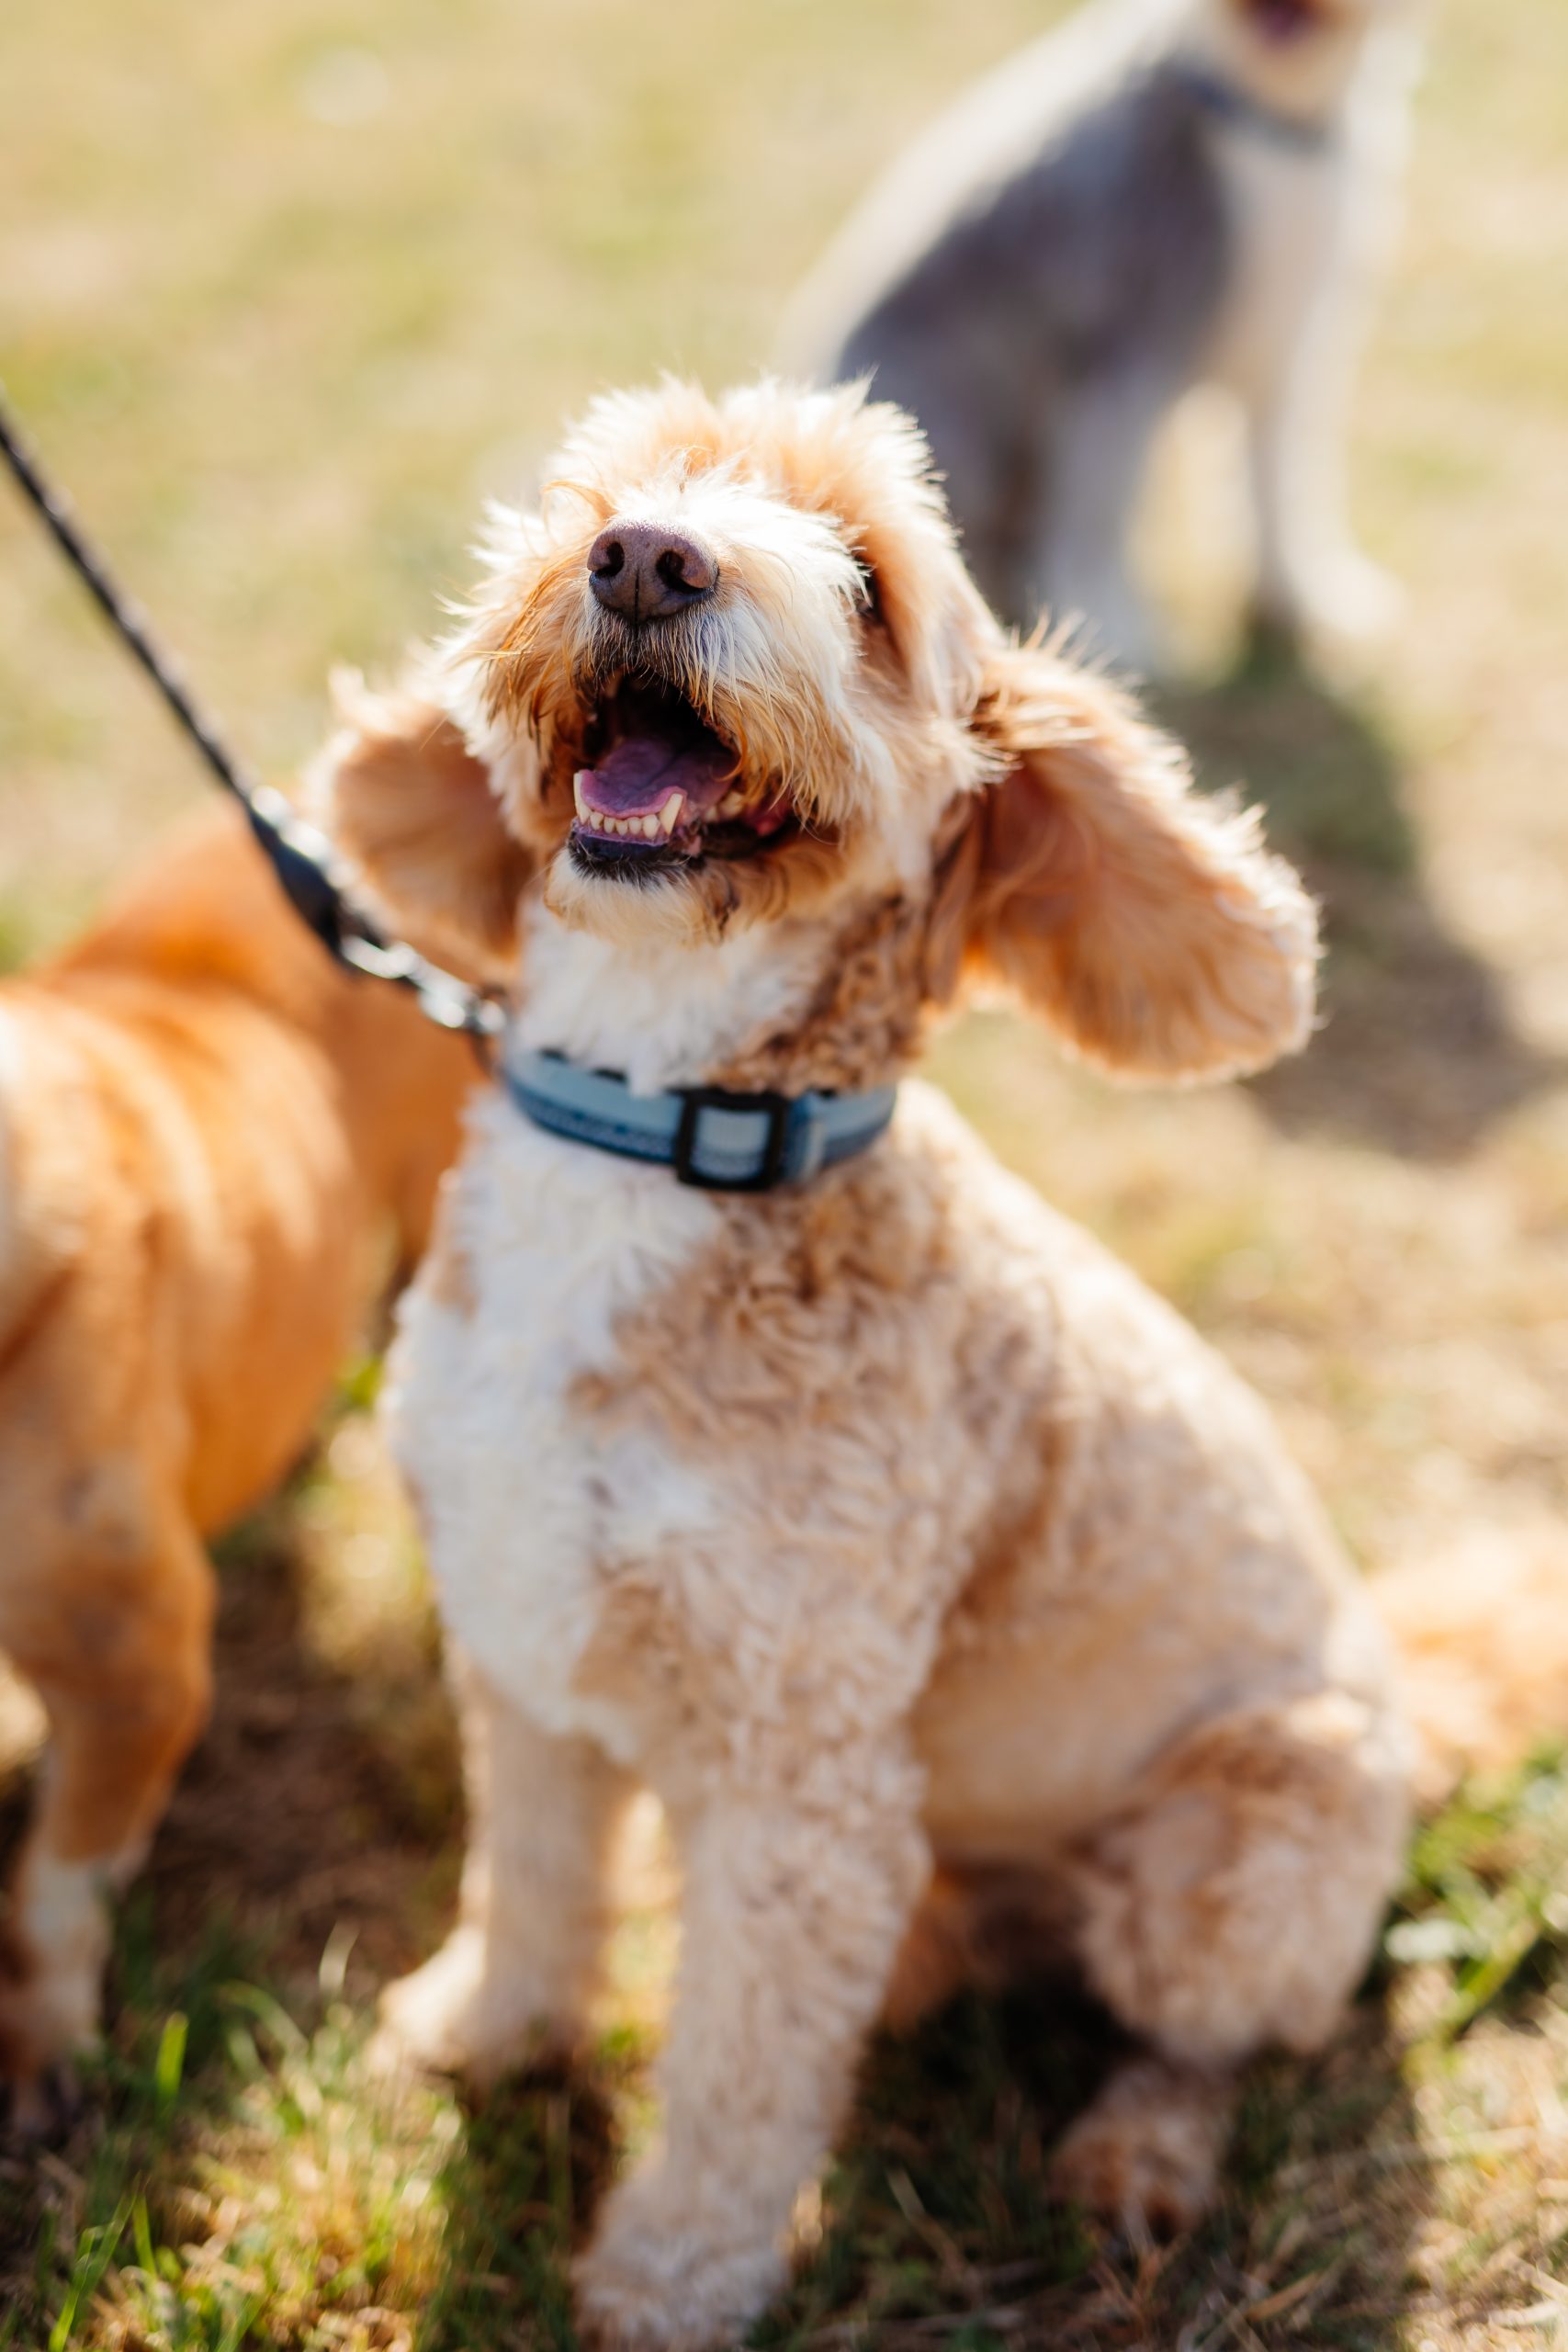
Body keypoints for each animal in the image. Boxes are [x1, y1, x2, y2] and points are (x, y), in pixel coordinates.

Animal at [331, 376, 1410, 2342]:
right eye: (608, 493)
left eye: (867, 584)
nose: (646, 560)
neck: (666, 1129)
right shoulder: (518, 1652)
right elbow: (530, 1881)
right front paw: (486, 2037)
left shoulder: (800, 1785)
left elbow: (742, 2071)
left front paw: (667, 2278)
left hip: (1242, 1857)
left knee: (1210, 2039)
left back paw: (1135, 2159)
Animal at [784, 0, 1419, 668]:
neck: (1258, 113)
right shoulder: (1125, 352)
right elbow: (1100, 500)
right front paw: (1113, 628)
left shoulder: (1290, 341)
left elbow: (1282, 480)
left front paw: (1302, 599)